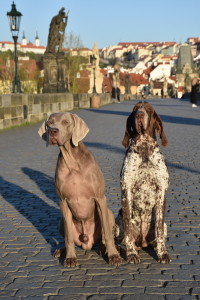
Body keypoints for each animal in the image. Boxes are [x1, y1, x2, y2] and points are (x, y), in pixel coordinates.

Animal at [38, 112, 121, 268]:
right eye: (49, 123)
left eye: (66, 122)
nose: (53, 131)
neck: (72, 161)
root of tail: (87, 243)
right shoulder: (63, 201)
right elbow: (69, 237)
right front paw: (70, 258)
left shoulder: (100, 198)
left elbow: (107, 234)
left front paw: (114, 256)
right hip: (60, 222)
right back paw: (61, 251)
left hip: (109, 214)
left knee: (104, 237)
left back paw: (104, 249)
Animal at [116, 102, 171, 264]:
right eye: (135, 110)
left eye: (149, 110)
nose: (140, 114)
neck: (145, 149)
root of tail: (142, 241)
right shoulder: (126, 191)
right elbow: (128, 228)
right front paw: (131, 254)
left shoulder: (161, 192)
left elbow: (159, 229)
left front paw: (162, 253)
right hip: (116, 222)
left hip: (163, 226)